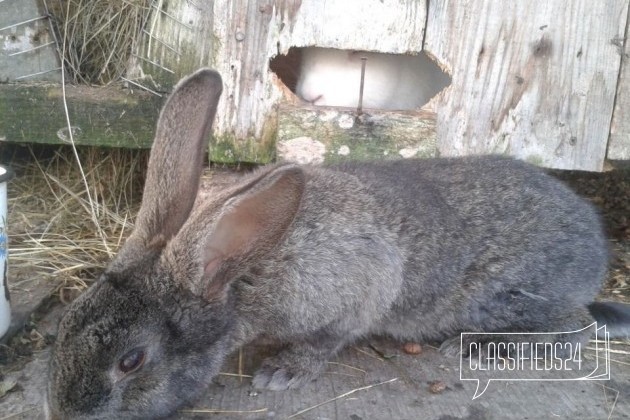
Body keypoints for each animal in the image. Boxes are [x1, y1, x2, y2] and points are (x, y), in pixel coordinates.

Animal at [45, 67, 630, 418]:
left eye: (131, 361)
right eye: (66, 325)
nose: (66, 413)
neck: (240, 279)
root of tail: (595, 249)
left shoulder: (361, 289)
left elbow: (331, 338)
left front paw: (281, 372)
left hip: (506, 299)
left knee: (576, 329)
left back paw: (477, 347)